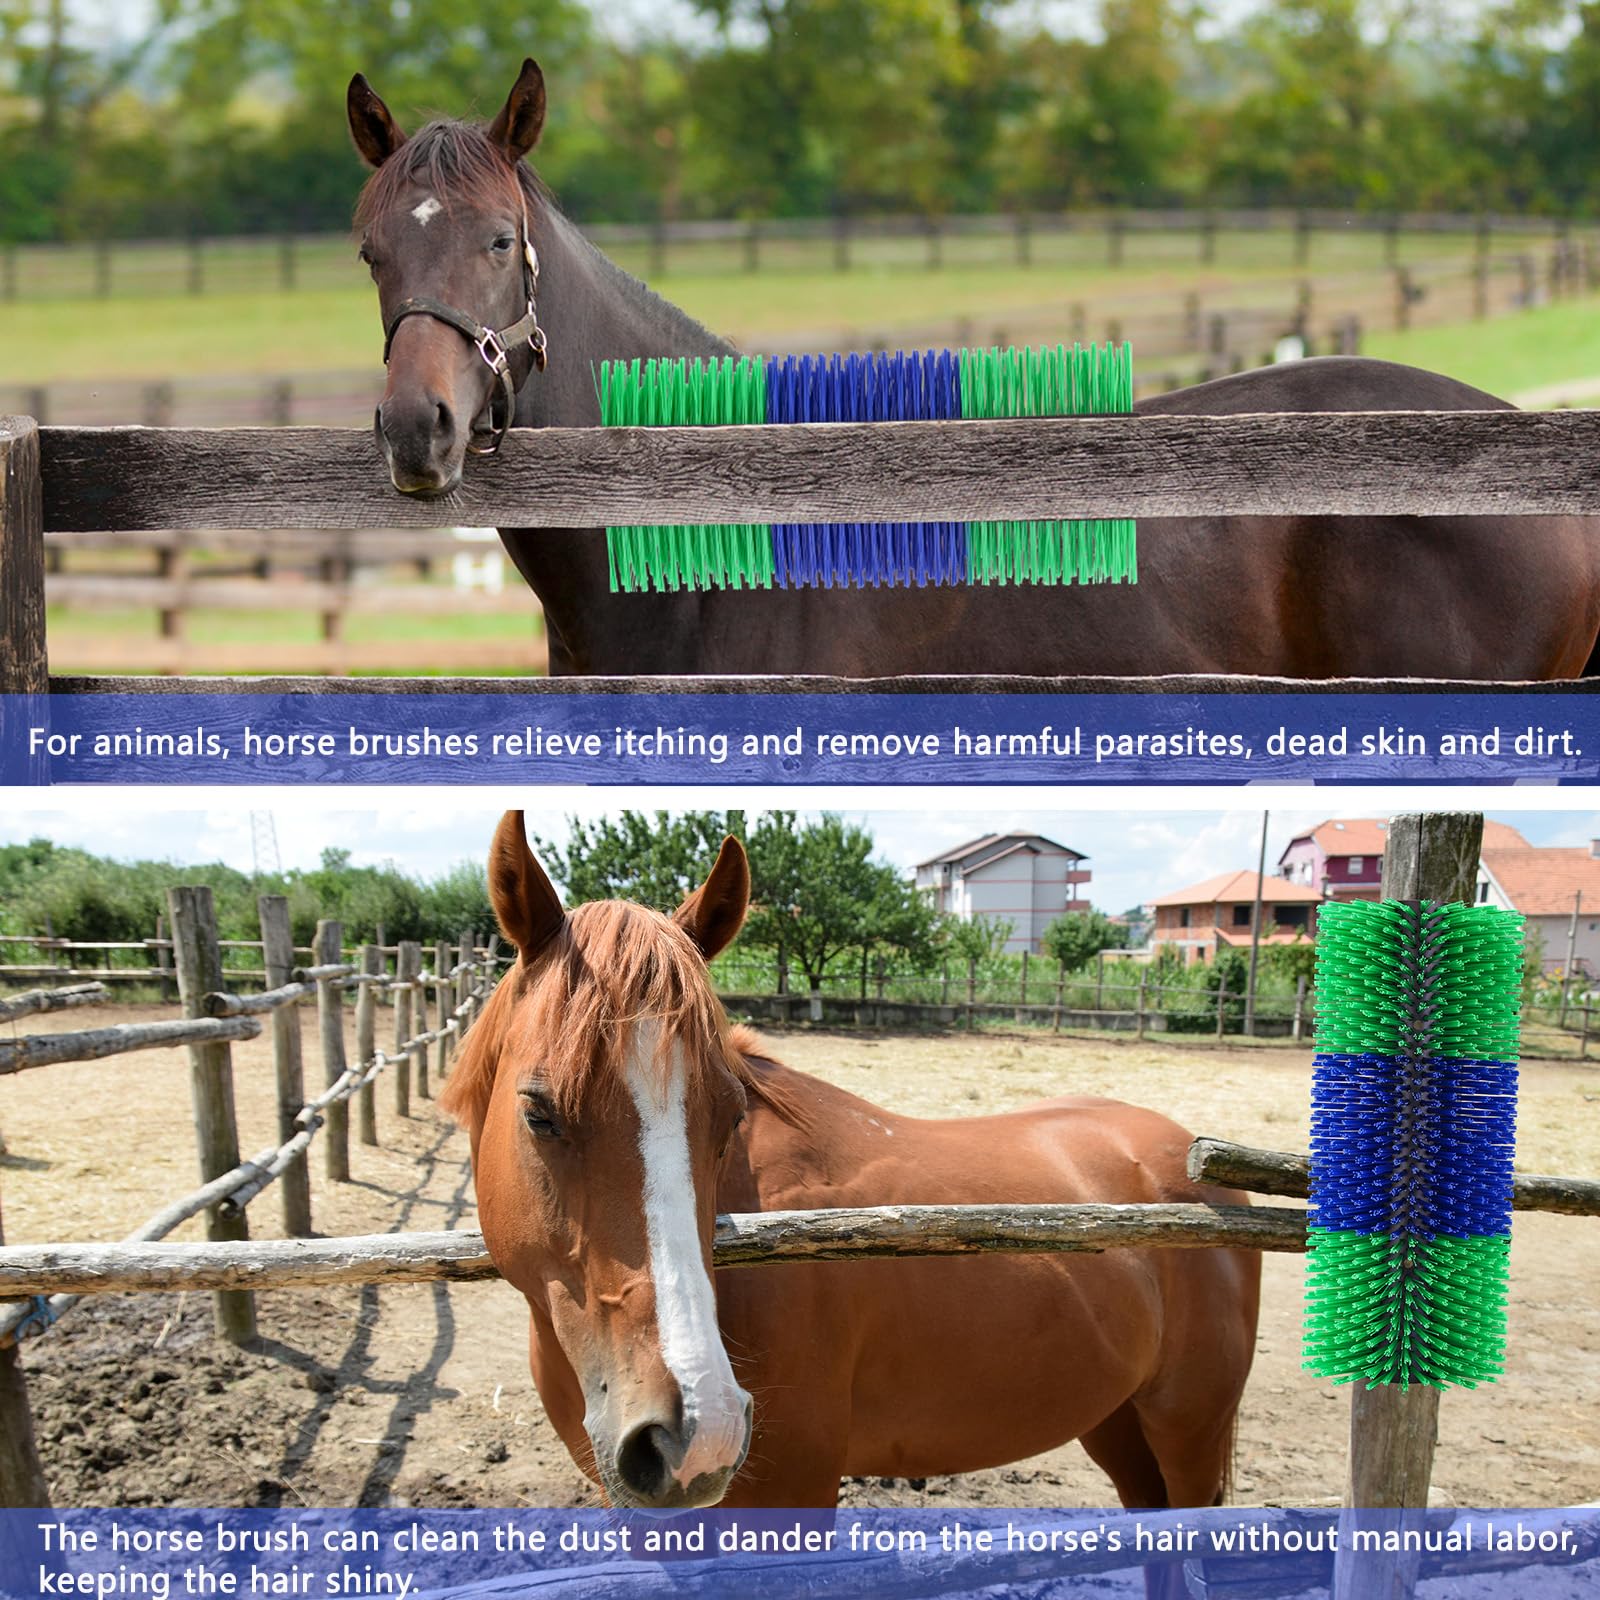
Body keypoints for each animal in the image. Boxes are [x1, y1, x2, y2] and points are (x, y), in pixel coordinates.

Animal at [439, 812, 1262, 1598]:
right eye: (539, 1111)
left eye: (729, 1116)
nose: (698, 1429)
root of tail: (1191, 1158)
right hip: (1120, 1428)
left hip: (1188, 1434)